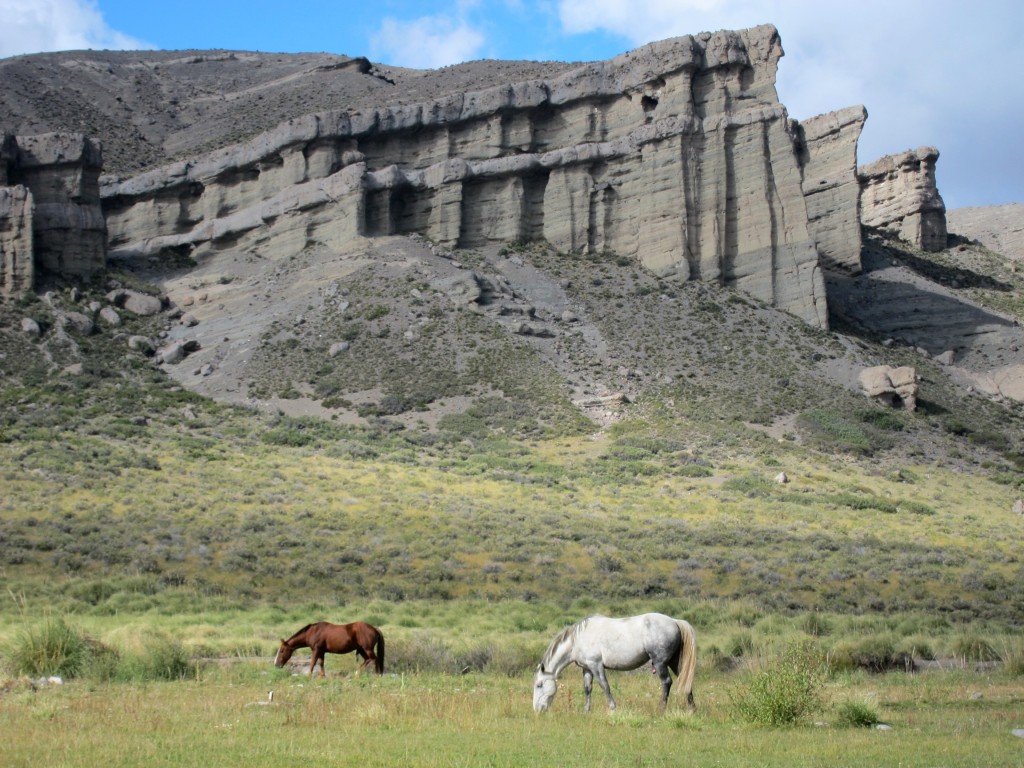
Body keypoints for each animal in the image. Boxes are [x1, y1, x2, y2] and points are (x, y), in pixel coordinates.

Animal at [536, 614, 696, 716]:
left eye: (539, 685)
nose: (537, 709)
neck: (578, 639)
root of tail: (675, 621)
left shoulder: (596, 666)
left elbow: (605, 686)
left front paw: (613, 708)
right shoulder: (587, 668)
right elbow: (587, 689)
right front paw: (586, 711)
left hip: (660, 662)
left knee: (666, 682)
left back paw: (661, 708)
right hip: (673, 662)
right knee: (685, 680)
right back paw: (692, 709)